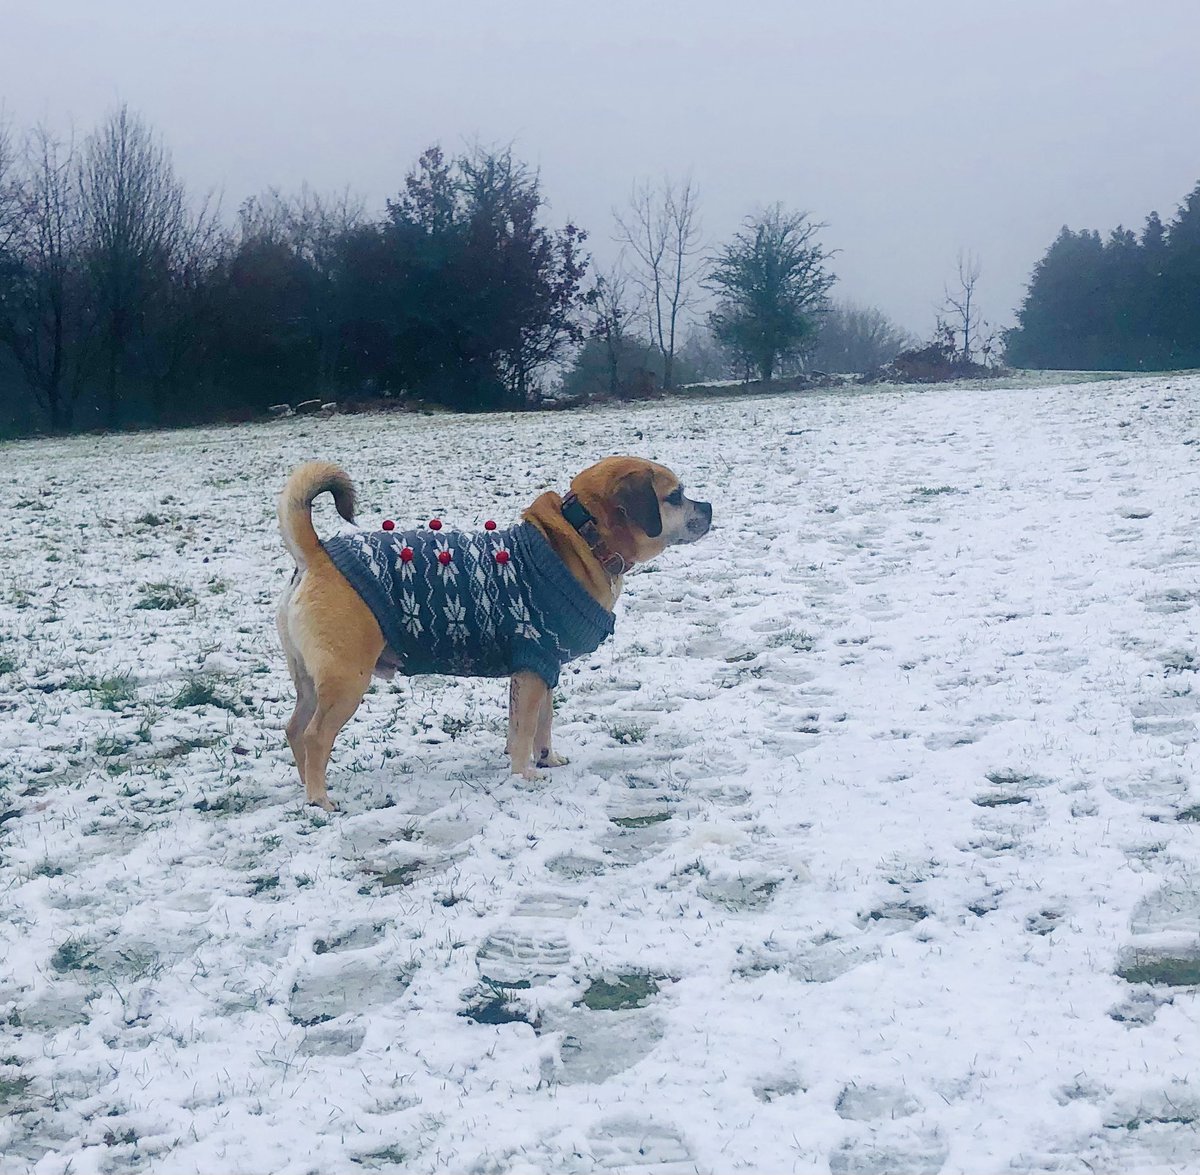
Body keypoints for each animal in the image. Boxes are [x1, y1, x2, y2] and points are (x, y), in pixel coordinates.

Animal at [274, 456, 710, 806]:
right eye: (675, 496)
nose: (707, 507)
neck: (584, 537)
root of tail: (317, 555)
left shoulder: (544, 668)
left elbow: (541, 723)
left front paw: (547, 760)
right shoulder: (532, 668)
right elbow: (524, 730)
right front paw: (524, 776)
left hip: (311, 680)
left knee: (295, 730)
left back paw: (306, 786)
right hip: (347, 679)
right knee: (315, 736)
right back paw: (320, 800)